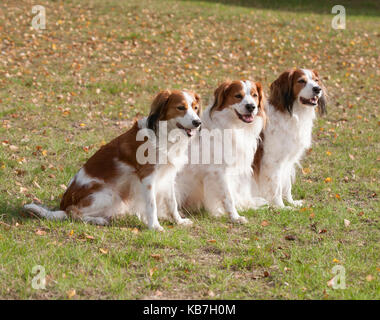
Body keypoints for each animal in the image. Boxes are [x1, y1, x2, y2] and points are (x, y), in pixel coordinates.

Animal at [23, 89, 202, 231]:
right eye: (181, 107)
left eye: (195, 107)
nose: (198, 122)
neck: (165, 135)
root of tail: (62, 205)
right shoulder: (147, 177)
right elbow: (152, 205)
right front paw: (155, 226)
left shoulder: (168, 176)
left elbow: (172, 203)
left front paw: (179, 221)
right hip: (108, 195)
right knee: (72, 213)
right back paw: (98, 220)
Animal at [177, 80, 268, 222]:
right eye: (238, 96)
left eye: (255, 95)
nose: (251, 107)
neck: (234, 126)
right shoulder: (219, 172)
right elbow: (228, 197)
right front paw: (235, 217)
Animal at [254, 68, 326, 208]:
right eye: (301, 81)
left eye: (316, 80)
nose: (317, 89)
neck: (292, 114)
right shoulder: (273, 162)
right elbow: (276, 186)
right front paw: (281, 207)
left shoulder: (288, 160)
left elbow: (287, 185)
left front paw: (292, 202)